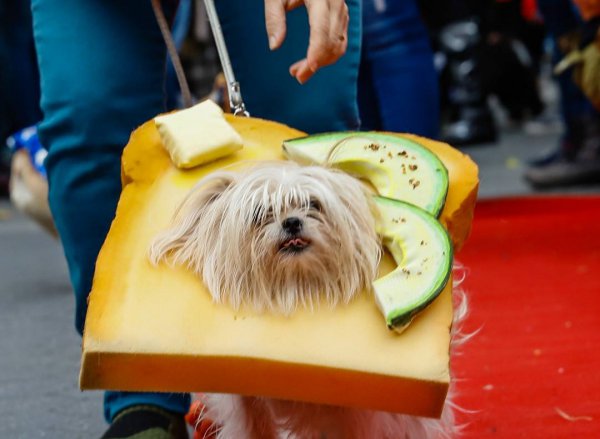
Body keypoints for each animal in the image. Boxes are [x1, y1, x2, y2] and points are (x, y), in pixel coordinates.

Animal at [151, 162, 460, 439]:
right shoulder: (246, 401)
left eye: (313, 204)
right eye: (260, 213)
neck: (295, 286)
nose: (291, 221)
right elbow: (253, 427)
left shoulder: (351, 414)